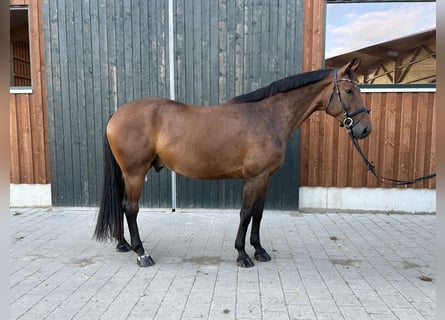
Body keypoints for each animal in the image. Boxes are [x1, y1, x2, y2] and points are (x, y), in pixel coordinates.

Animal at [94, 58, 372, 268]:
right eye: (349, 91)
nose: (365, 130)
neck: (267, 116)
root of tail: (117, 112)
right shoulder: (254, 178)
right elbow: (246, 213)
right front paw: (242, 254)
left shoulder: (265, 178)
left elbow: (258, 213)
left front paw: (259, 250)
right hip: (134, 172)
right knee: (130, 208)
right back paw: (142, 254)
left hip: (126, 174)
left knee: (121, 206)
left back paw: (123, 244)